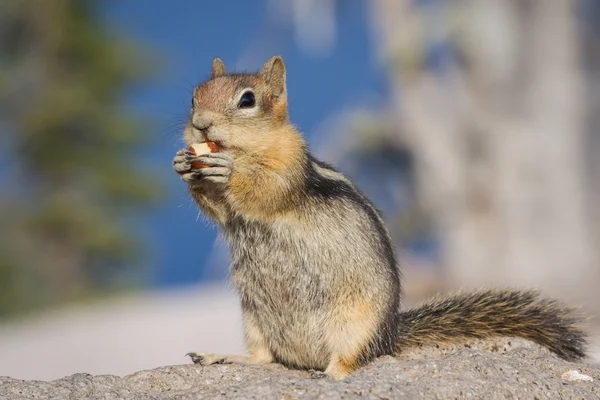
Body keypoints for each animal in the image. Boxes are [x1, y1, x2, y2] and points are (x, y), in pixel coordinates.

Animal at [171, 55, 584, 378]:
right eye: (193, 97)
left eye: (247, 100)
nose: (201, 124)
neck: (247, 149)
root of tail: (390, 336)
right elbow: (219, 209)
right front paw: (182, 165)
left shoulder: (289, 167)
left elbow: (264, 189)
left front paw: (227, 172)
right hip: (254, 320)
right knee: (265, 358)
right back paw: (221, 356)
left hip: (353, 326)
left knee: (348, 362)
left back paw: (329, 373)